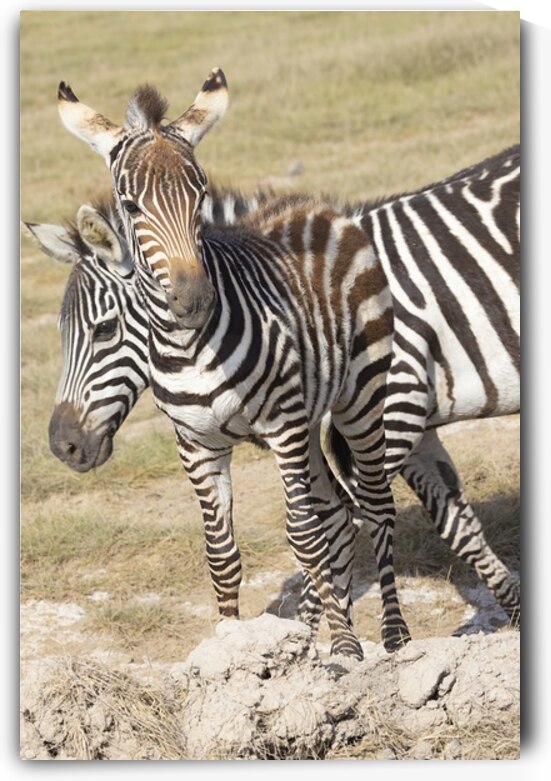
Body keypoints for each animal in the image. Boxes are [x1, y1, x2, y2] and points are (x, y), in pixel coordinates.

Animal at [55, 68, 411, 660]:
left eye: (200, 194)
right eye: (130, 205)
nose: (194, 301)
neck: (186, 349)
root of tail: (314, 205)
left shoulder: (283, 428)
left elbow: (302, 537)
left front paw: (345, 648)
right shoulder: (197, 443)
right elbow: (221, 555)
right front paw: (230, 648)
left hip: (359, 396)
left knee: (375, 505)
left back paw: (393, 634)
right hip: (309, 419)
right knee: (340, 513)